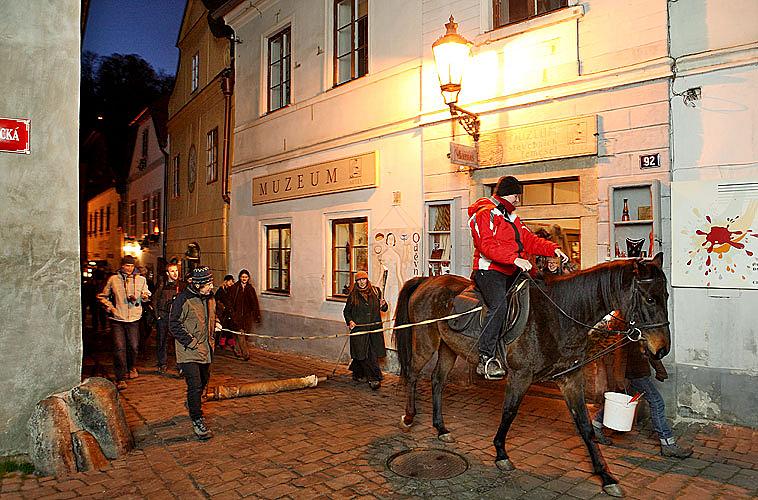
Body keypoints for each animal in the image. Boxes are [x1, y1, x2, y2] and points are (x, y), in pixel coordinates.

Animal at [394, 254, 672, 496]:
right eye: (649, 299)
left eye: (666, 295)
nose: (662, 348)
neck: (559, 316)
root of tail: (427, 280)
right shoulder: (521, 375)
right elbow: (509, 412)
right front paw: (501, 454)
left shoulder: (570, 379)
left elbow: (584, 426)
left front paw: (606, 477)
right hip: (426, 341)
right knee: (412, 374)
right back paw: (408, 417)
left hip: (448, 348)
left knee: (437, 381)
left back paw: (441, 428)